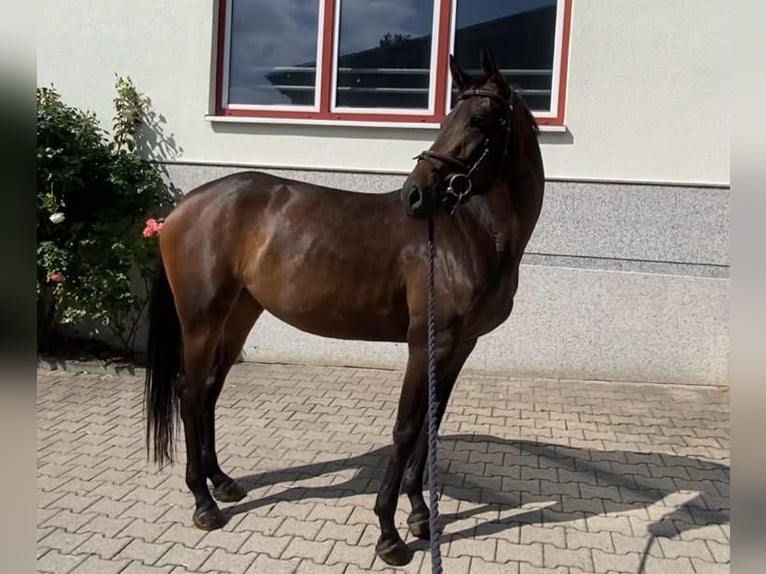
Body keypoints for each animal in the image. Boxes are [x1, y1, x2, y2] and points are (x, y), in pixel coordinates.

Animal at [144, 50, 544, 566]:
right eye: (446, 118)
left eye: (477, 119)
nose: (415, 195)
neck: (471, 234)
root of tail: (181, 207)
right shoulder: (426, 344)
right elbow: (406, 427)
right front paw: (389, 533)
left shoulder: (460, 346)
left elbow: (431, 425)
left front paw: (420, 515)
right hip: (200, 320)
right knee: (190, 393)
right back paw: (203, 502)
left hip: (239, 315)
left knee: (210, 389)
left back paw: (222, 482)